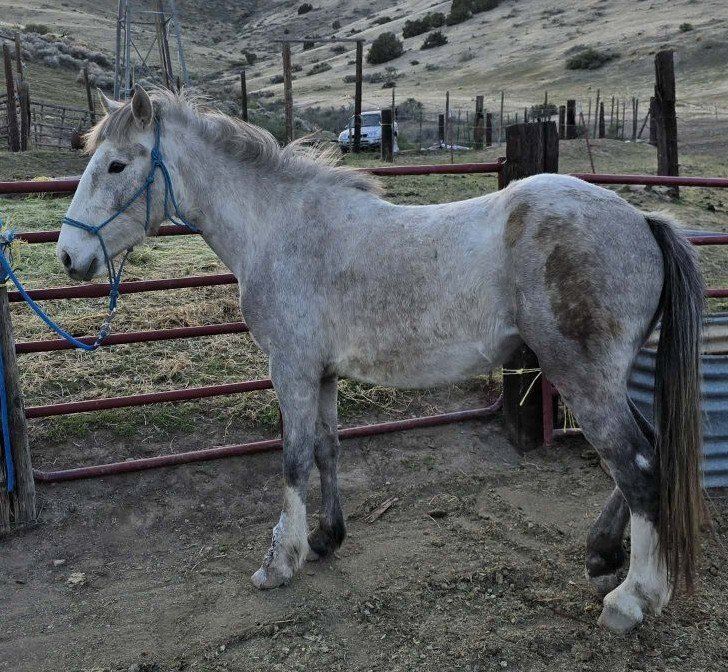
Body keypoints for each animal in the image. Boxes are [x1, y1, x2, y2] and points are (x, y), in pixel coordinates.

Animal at [56, 86, 704, 634]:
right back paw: (601, 554)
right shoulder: (321, 375)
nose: (68, 254)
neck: (280, 231)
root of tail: (642, 221)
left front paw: (280, 562)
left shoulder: (291, 370)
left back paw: (631, 599)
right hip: (611, 380)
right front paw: (326, 538)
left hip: (584, 379)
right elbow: (326, 450)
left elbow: (293, 461)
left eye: (117, 165)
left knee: (638, 467)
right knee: (645, 454)